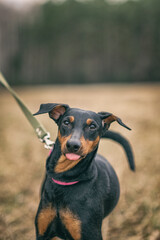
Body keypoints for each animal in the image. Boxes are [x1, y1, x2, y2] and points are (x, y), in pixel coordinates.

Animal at [33, 104, 135, 240]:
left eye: (92, 126)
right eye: (66, 122)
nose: (73, 145)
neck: (66, 178)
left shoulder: (89, 233)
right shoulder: (43, 232)